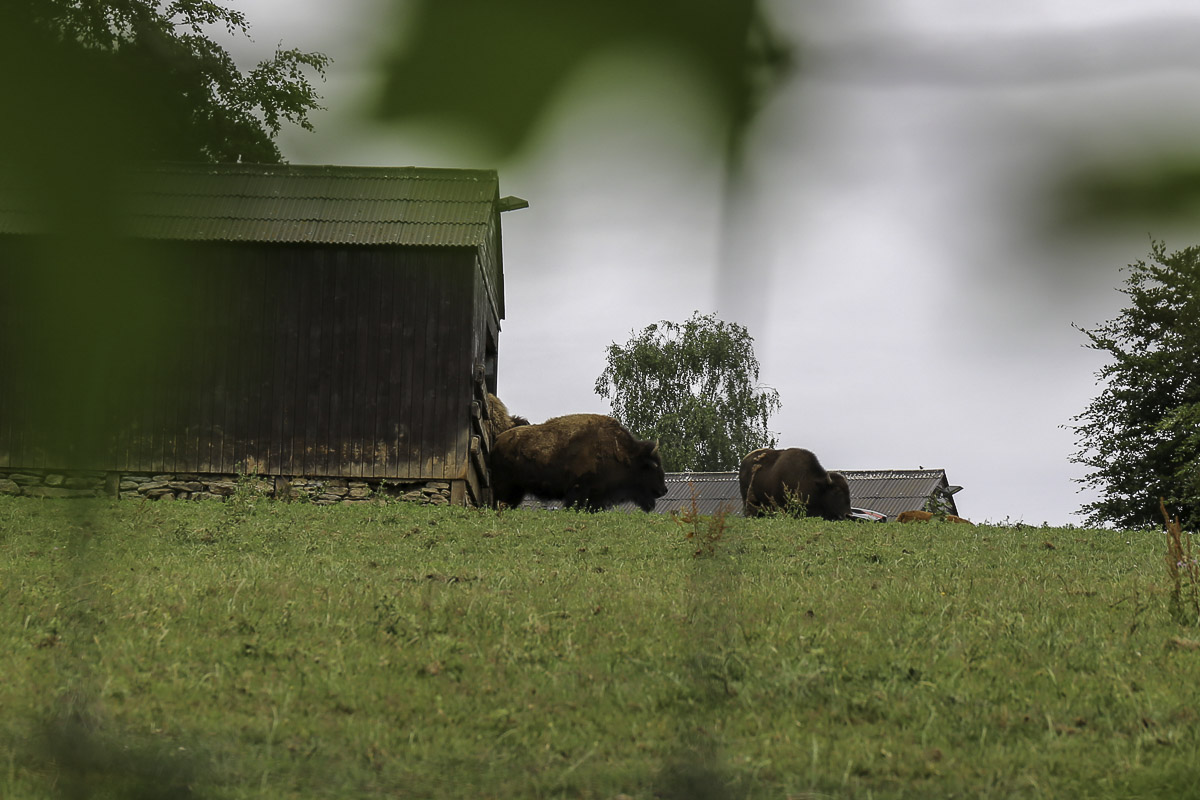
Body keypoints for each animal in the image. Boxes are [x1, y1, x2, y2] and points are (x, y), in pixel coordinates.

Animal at [490, 414, 668, 511]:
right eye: (654, 467)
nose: (664, 490)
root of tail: (497, 440)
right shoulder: (578, 492)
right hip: (506, 488)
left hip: (517, 491)